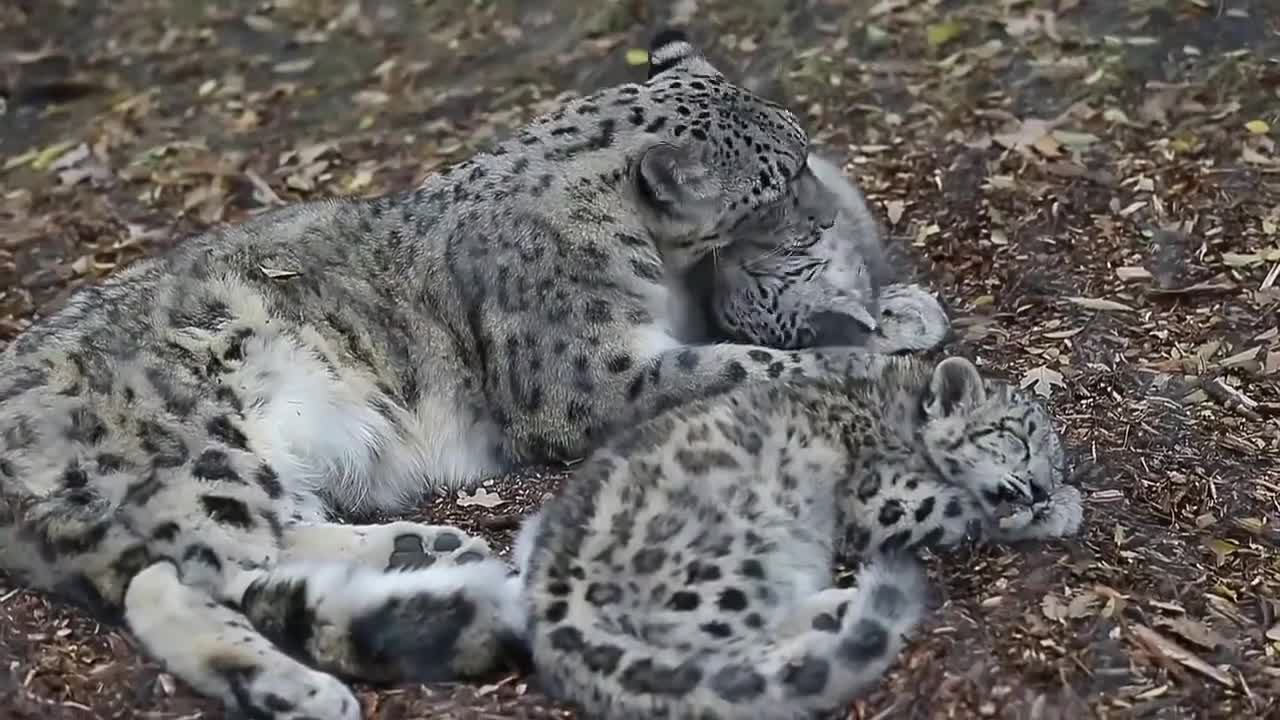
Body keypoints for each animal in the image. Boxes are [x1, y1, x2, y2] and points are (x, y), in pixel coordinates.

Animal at [0, 29, 944, 720]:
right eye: (779, 178)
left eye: (800, 145)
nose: (822, 207)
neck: (661, 271)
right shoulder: (591, 378)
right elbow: (737, 362)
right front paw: (860, 355)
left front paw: (904, 312)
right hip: (200, 456)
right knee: (188, 573)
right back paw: (302, 683)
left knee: (253, 547)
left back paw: (422, 550)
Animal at [513, 354, 1085, 720]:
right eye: (1015, 435)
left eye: (1054, 462)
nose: (1040, 487)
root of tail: (548, 590)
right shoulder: (882, 496)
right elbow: (959, 505)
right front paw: (1063, 510)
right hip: (729, 560)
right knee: (711, 651)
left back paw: (835, 607)